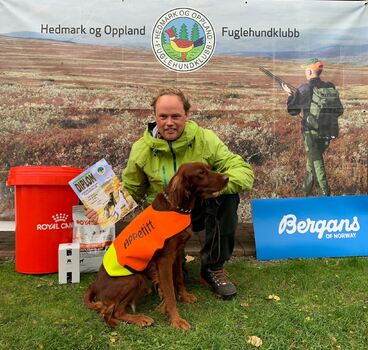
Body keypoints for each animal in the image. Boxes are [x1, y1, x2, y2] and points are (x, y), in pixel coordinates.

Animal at [84, 163, 227, 330]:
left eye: (209, 168)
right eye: (201, 173)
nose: (227, 178)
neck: (176, 208)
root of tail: (95, 285)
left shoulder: (178, 253)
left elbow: (179, 279)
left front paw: (184, 296)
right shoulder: (164, 260)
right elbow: (169, 293)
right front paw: (176, 320)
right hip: (134, 278)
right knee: (111, 312)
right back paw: (139, 319)